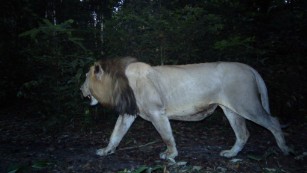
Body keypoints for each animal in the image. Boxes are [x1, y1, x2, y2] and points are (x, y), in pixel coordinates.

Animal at [80, 56, 288, 159]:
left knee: (274, 122)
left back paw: (285, 149)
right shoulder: (128, 114)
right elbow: (116, 134)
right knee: (243, 133)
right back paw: (230, 154)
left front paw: (170, 155)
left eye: (86, 77)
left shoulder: (157, 112)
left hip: (247, 104)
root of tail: (249, 67)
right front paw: (106, 151)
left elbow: (166, 135)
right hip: (231, 109)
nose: (80, 88)